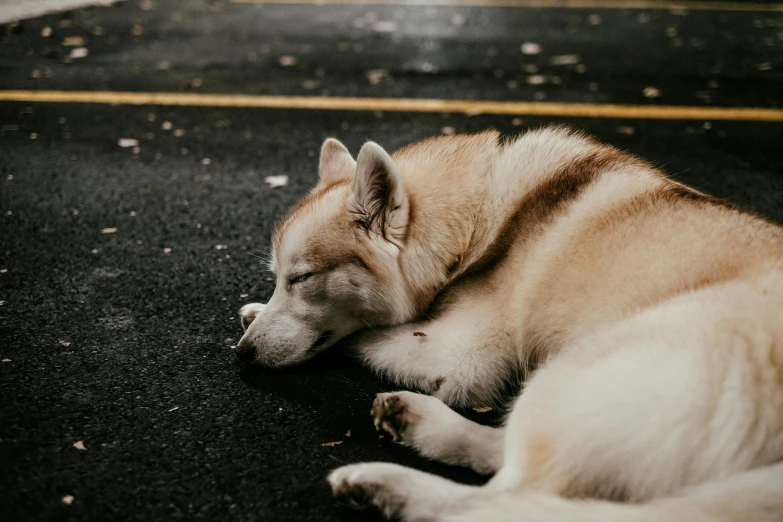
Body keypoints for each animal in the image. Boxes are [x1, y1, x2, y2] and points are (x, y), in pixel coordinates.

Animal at [236, 127, 783, 520]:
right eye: (278, 276)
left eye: (302, 278)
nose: (242, 354)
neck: (477, 223)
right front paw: (256, 310)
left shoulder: (454, 356)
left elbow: (363, 335)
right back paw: (416, 423)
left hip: (589, 360)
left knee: (504, 497)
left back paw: (387, 485)